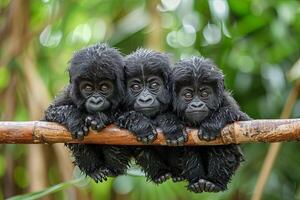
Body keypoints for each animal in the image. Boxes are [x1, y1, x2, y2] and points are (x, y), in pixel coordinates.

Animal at [44, 43, 130, 183]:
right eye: (88, 88)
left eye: (104, 88)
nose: (96, 100)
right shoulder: (68, 94)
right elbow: (49, 114)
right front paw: (76, 120)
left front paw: (100, 118)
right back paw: (94, 170)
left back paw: (113, 170)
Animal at [116, 48, 186, 184]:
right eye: (136, 87)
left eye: (153, 85)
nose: (145, 99)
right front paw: (141, 125)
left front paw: (172, 128)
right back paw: (160, 173)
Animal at [171, 56, 251, 192]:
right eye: (188, 95)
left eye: (204, 94)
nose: (196, 105)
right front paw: (173, 129)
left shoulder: (227, 100)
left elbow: (242, 122)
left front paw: (211, 126)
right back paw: (196, 182)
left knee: (221, 146)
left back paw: (214, 183)